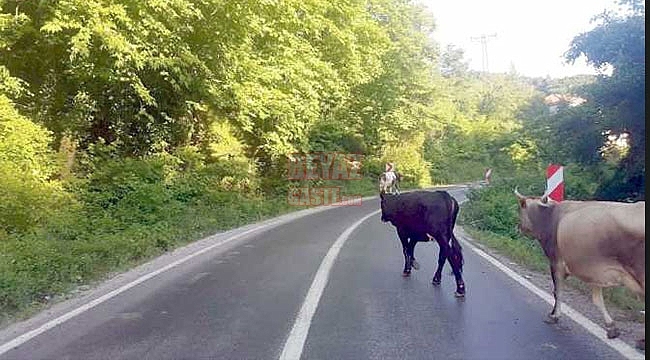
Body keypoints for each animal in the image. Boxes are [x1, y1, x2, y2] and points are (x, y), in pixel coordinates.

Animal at [512, 190, 644, 350]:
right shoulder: (595, 272)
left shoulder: (556, 262)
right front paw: (611, 328)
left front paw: (554, 316)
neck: (549, 215)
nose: (518, 227)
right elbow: (597, 300)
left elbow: (557, 291)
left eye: (520, 208)